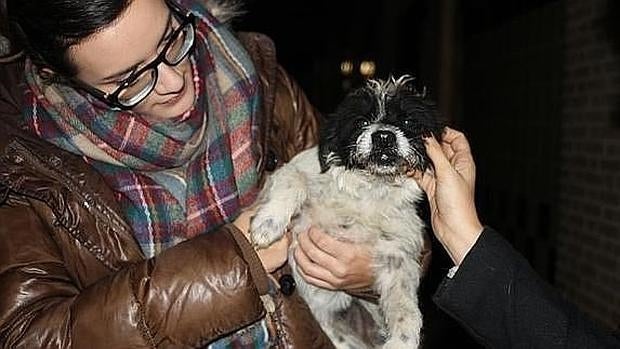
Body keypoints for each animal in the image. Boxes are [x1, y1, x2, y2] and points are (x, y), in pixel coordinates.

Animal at [249, 75, 444, 348]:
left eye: (407, 121)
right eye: (361, 121)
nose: (384, 136)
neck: (369, 193)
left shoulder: (397, 256)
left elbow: (405, 306)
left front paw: (403, 339)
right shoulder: (285, 176)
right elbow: (295, 178)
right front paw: (268, 224)